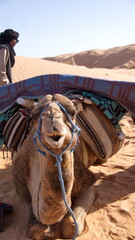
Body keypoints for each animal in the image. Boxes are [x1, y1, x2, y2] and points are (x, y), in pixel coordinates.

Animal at [12, 94, 95, 240]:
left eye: (73, 113)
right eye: (34, 116)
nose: (52, 116)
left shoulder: (87, 183)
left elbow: (71, 227)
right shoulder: (22, 189)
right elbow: (34, 229)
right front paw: (45, 230)